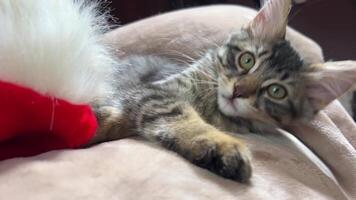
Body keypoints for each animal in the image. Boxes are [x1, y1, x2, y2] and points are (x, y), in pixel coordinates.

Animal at [91, 0, 356, 183]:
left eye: (276, 91)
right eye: (247, 60)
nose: (238, 91)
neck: (209, 106)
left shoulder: (148, 95)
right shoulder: (155, 90)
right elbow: (176, 114)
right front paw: (220, 145)